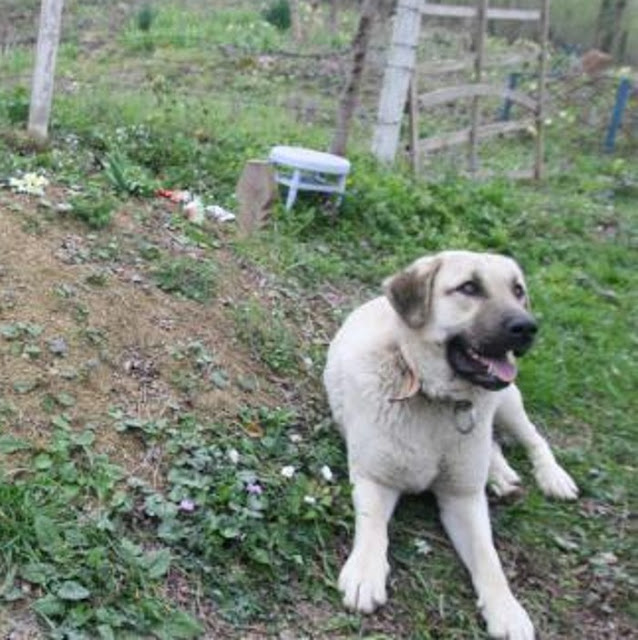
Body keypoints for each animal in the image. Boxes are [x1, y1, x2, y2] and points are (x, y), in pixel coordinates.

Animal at [324, 251, 580, 640]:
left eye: (518, 290)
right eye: (469, 288)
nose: (527, 326)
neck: (438, 398)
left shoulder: (464, 498)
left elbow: (488, 557)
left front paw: (507, 610)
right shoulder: (375, 478)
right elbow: (372, 528)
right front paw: (365, 573)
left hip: (508, 402)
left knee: (533, 438)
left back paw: (551, 476)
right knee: (494, 444)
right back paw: (502, 475)